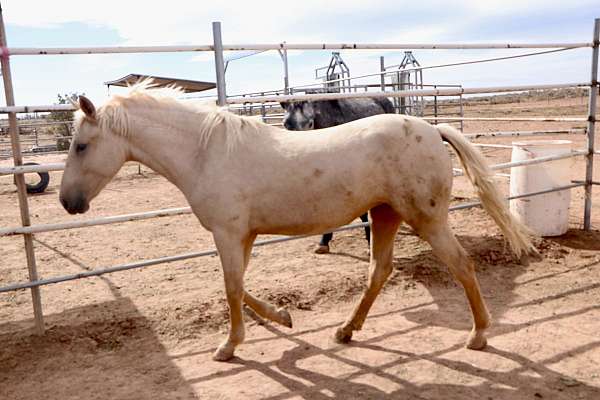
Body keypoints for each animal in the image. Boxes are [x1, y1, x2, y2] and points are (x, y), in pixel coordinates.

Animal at [61, 83, 536, 360]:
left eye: (82, 146)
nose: (68, 202)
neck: (206, 152)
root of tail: (432, 129)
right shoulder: (244, 235)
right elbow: (240, 287)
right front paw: (283, 317)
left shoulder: (228, 234)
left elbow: (231, 288)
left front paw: (228, 346)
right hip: (384, 214)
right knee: (378, 271)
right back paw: (345, 331)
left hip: (427, 219)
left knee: (462, 266)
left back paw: (478, 336)